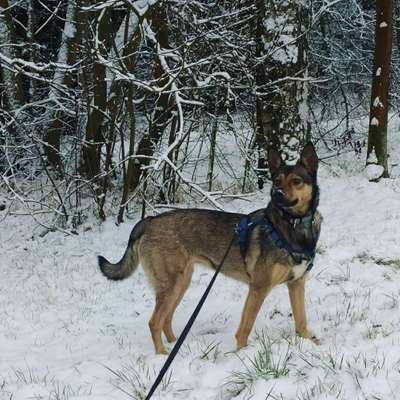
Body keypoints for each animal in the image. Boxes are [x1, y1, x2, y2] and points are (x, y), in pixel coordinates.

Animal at [100, 143, 322, 354]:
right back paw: (162, 355)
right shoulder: (258, 288)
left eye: (296, 181)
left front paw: (311, 345)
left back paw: (175, 346)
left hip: (180, 283)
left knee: (166, 320)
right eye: (277, 181)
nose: (277, 194)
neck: (292, 227)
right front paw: (241, 354)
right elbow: (244, 329)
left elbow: (301, 322)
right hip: (171, 285)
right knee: (155, 322)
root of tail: (149, 220)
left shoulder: (297, 284)